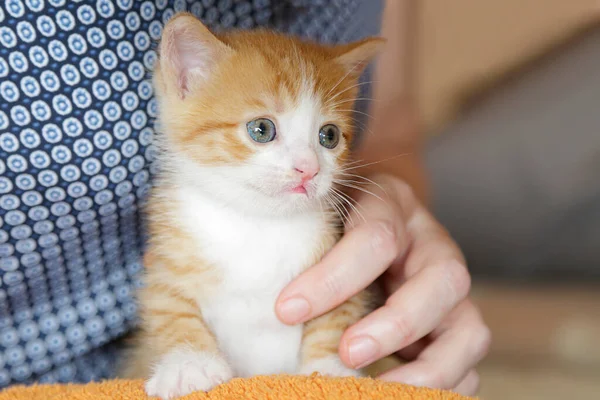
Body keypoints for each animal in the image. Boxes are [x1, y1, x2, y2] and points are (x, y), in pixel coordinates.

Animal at [120, 12, 384, 400]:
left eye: (329, 136)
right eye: (261, 129)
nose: (309, 169)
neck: (258, 222)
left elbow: (337, 315)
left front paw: (331, 370)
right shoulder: (167, 261)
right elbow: (169, 306)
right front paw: (189, 363)